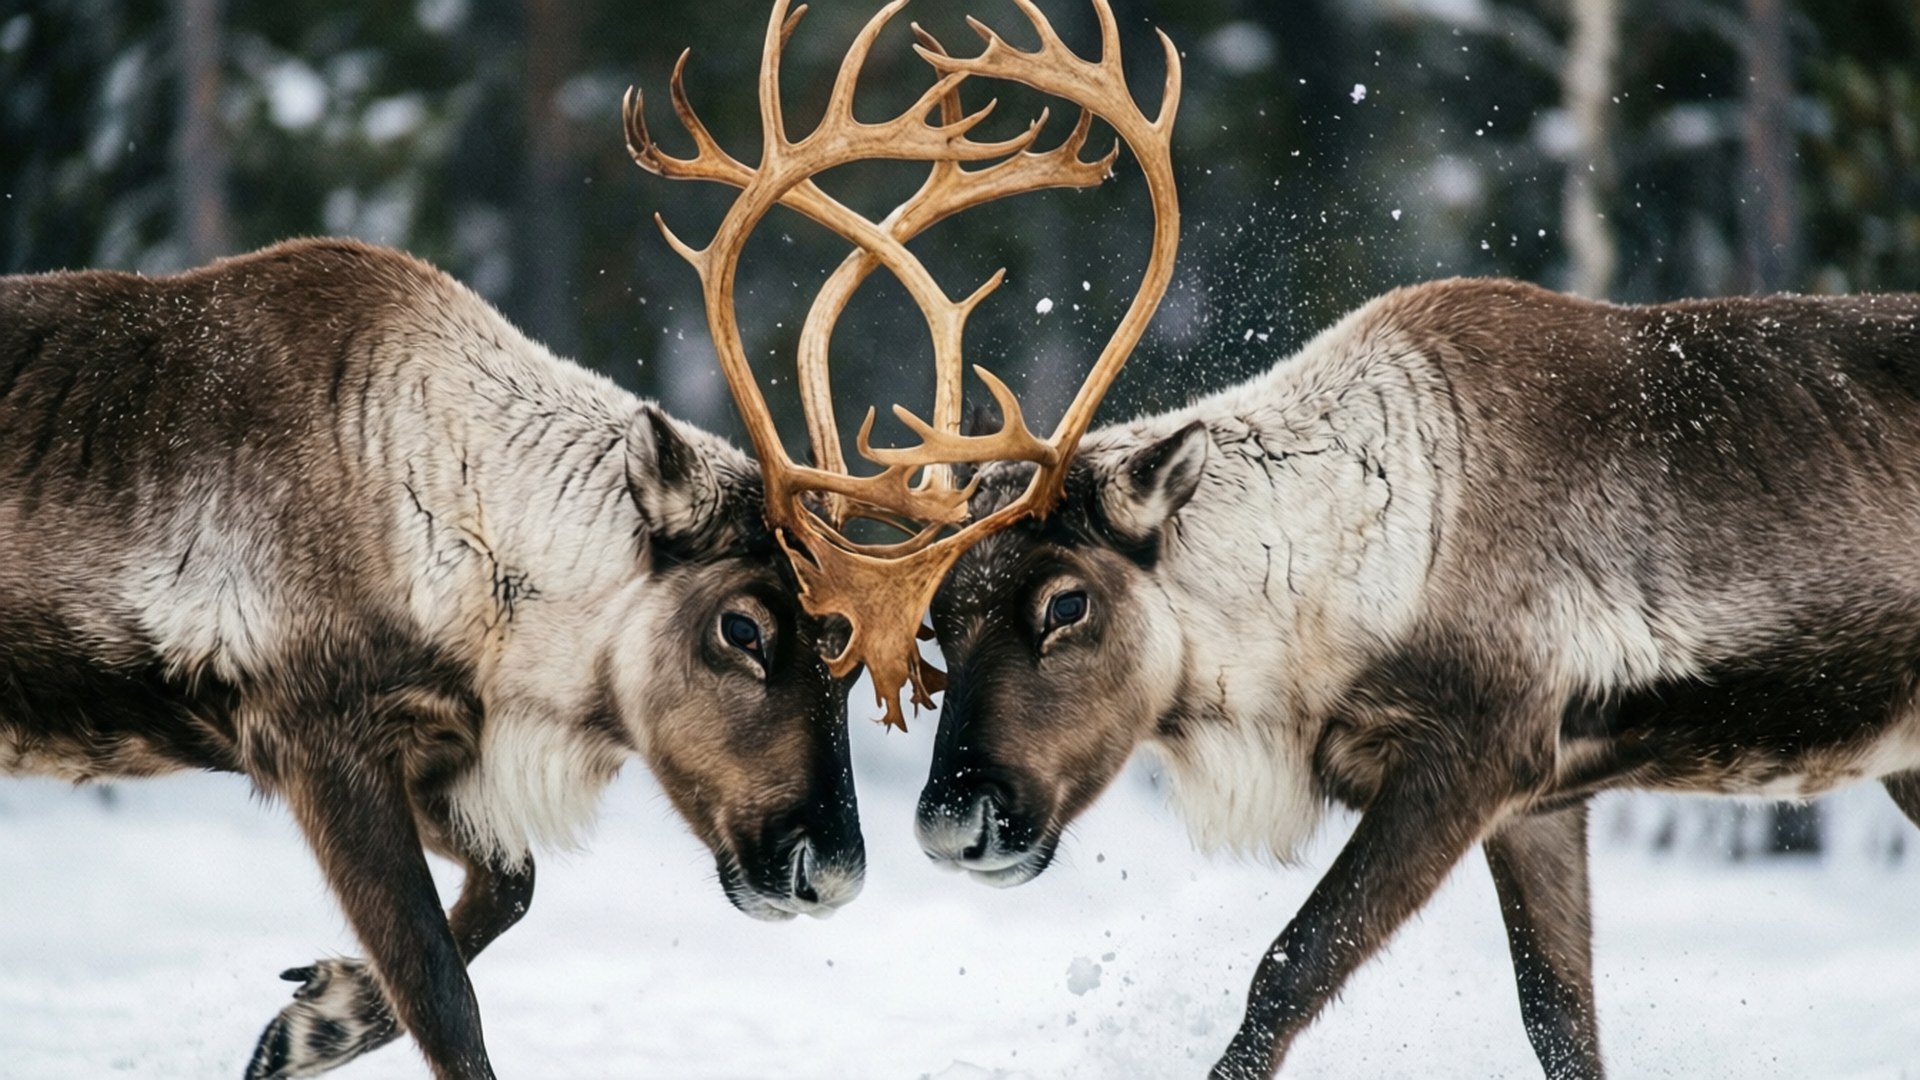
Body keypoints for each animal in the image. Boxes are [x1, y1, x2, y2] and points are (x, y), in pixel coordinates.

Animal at [0, 233, 869, 1079]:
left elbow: (512, 885)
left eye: (851, 658)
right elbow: (441, 994)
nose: (832, 873)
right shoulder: (319, 740)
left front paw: (315, 1024)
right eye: (743, 629)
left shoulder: (434, 747)